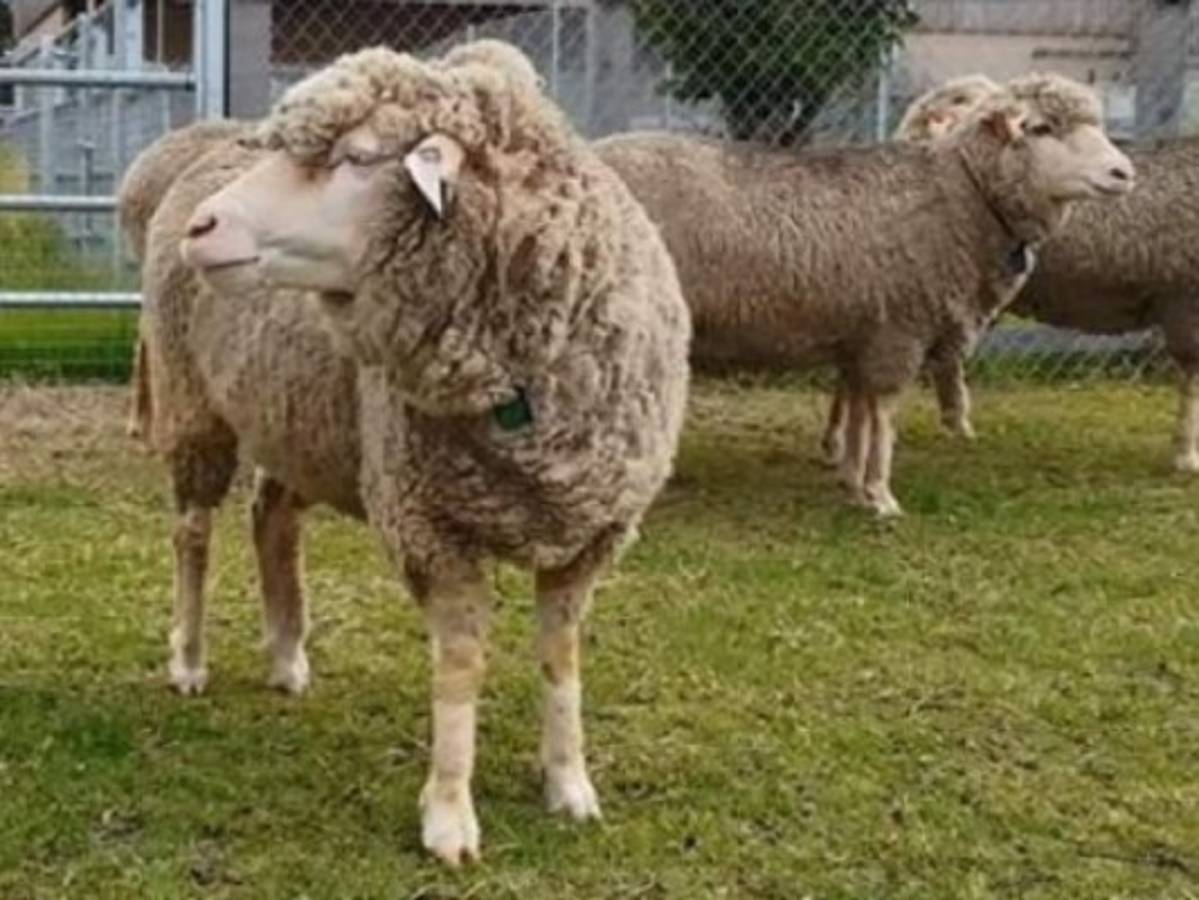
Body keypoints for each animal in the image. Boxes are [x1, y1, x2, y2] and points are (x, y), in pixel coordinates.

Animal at [120, 120, 366, 698]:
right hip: (193, 400)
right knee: (193, 529)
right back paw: (189, 660)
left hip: (289, 413)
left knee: (271, 517)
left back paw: (286, 655)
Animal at [595, 73, 1133, 516]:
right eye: (1041, 128)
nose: (1123, 173)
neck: (963, 195)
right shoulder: (900, 328)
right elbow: (885, 413)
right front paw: (880, 495)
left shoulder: (863, 330)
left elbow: (860, 409)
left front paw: (852, 479)